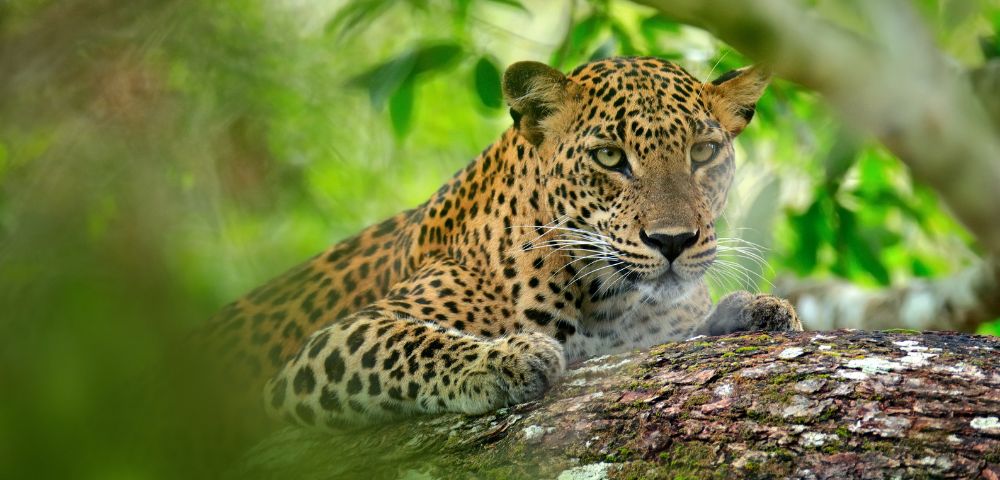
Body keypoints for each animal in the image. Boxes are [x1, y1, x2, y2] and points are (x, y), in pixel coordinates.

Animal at [204, 56, 802, 430]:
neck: (607, 299)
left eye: (703, 152)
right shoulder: (327, 347)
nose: (673, 241)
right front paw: (504, 360)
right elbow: (405, 342)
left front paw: (755, 310)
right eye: (610, 157)